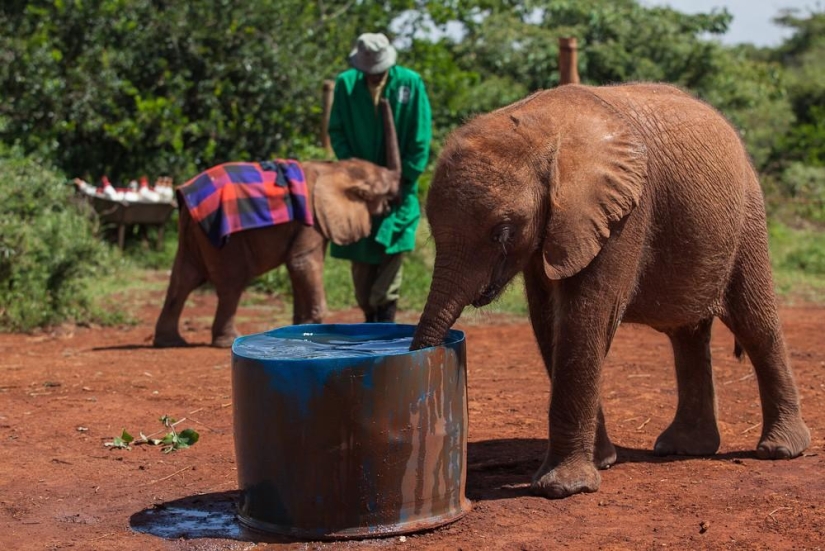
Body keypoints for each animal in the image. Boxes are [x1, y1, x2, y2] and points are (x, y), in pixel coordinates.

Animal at [153, 100, 401, 348]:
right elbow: (303, 263)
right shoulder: (310, 219)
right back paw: (226, 341)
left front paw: (301, 327)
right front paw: (312, 326)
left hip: (193, 232)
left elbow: (299, 268)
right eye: (378, 190)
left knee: (182, 280)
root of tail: (185, 196)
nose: (383, 101)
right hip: (222, 238)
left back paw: (170, 342)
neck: (334, 168)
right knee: (231, 284)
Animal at [410, 83, 811, 499]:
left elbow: (584, 320)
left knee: (755, 324)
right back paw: (683, 448)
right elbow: (549, 325)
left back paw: (780, 450)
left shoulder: (623, 214)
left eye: (502, 232)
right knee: (688, 335)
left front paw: (563, 489)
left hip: (748, 217)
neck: (543, 126)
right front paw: (601, 463)